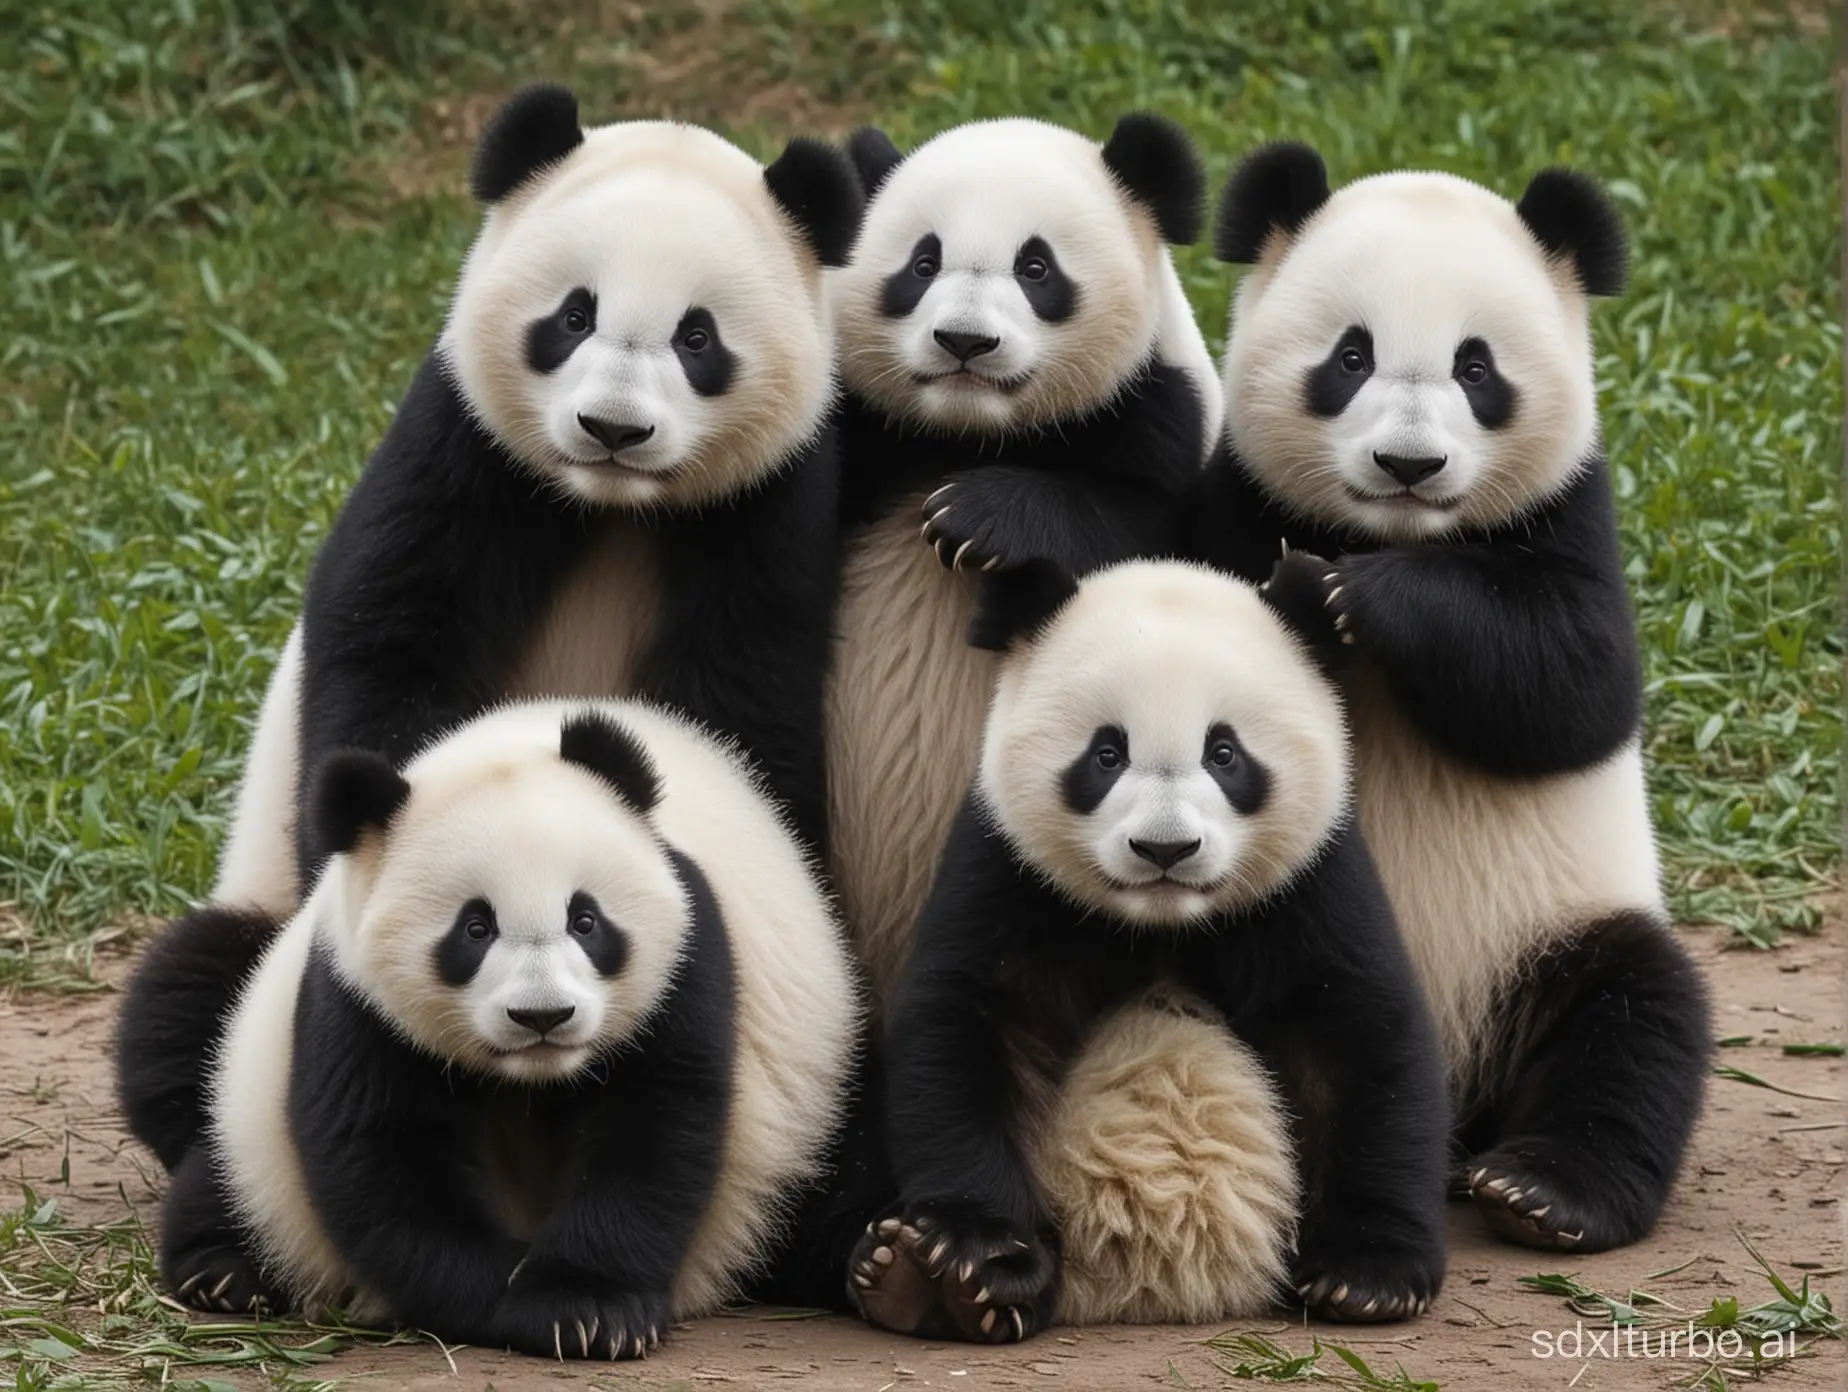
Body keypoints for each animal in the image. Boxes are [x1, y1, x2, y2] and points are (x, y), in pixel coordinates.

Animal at [122, 698, 857, 1353]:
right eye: (475, 928)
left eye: (585, 920)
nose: (543, 1016)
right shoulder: (353, 996)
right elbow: (383, 1157)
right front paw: (508, 1304)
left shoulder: (688, 961)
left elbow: (657, 1134)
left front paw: (586, 1311)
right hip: (250, 1103)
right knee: (222, 1155)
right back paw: (224, 1270)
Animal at [846, 561, 1448, 1338]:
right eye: (1106, 754)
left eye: (1225, 754)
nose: (1166, 849)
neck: (1162, 923)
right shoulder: (1009, 870)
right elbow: (972, 1029)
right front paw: (975, 1253)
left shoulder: (1310, 882)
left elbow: (1360, 1036)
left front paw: (1368, 1276)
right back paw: (910, 1278)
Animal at [1190, 146, 1707, 1257]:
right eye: (1350, 357)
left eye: (1478, 369)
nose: (1408, 465)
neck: (1403, 533)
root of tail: (1460, 1103)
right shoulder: (1232, 493)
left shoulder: (1572, 509)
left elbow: (1578, 683)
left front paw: (1345, 593)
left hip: (1548, 938)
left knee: (1638, 1017)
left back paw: (1543, 1192)